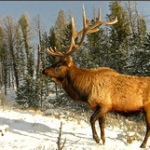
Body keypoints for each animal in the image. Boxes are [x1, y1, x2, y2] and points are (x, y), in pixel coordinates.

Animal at [42, 5, 150, 148]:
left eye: (59, 64)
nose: (43, 70)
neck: (84, 91)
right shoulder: (102, 107)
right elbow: (102, 125)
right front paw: (103, 141)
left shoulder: (104, 105)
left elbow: (91, 119)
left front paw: (97, 139)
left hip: (148, 107)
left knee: (149, 127)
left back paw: (142, 145)